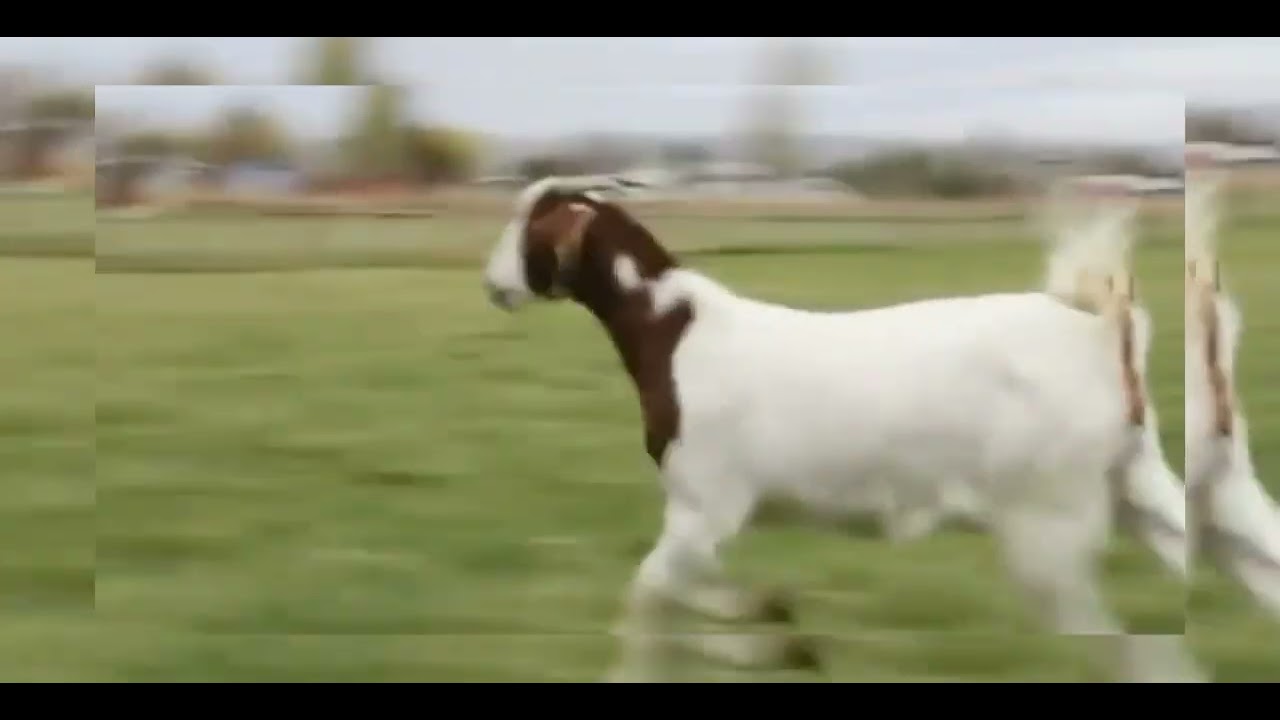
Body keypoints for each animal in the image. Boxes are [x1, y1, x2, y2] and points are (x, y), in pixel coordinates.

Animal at [481, 175, 1202, 682]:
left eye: (529, 225)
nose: (493, 286)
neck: (673, 332)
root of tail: (1100, 329)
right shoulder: (710, 516)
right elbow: (677, 593)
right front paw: (775, 622)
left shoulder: (704, 504)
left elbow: (650, 598)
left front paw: (774, 640)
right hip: (1133, 482)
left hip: (1048, 526)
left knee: (1123, 647)